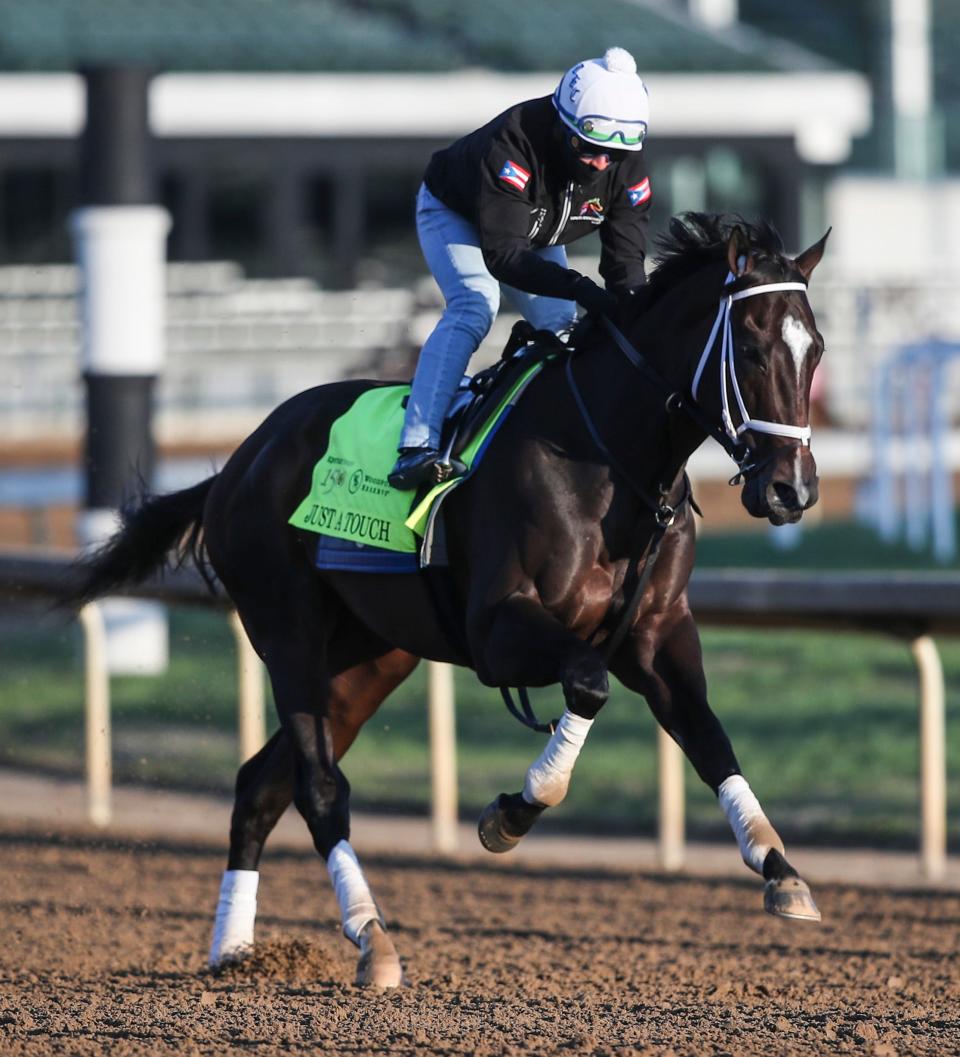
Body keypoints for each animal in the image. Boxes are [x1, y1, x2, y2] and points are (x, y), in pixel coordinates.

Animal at [69, 210, 833, 985]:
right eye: (751, 347)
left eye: (817, 348)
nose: (791, 489)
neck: (608, 459)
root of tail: (237, 462)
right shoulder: (498, 630)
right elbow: (587, 684)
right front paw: (513, 812)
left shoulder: (657, 631)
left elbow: (707, 735)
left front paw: (780, 868)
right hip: (288, 635)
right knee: (319, 789)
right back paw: (372, 939)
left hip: (366, 662)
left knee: (260, 785)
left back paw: (233, 949)